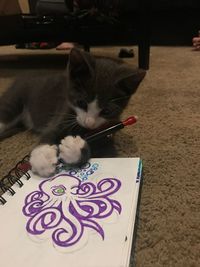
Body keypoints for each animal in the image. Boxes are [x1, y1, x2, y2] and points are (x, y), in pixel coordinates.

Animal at [0, 48, 145, 178]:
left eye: (107, 111)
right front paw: (43, 158)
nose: (89, 123)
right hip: (15, 98)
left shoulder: (108, 133)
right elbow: (50, 131)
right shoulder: (63, 112)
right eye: (81, 103)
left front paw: (74, 148)